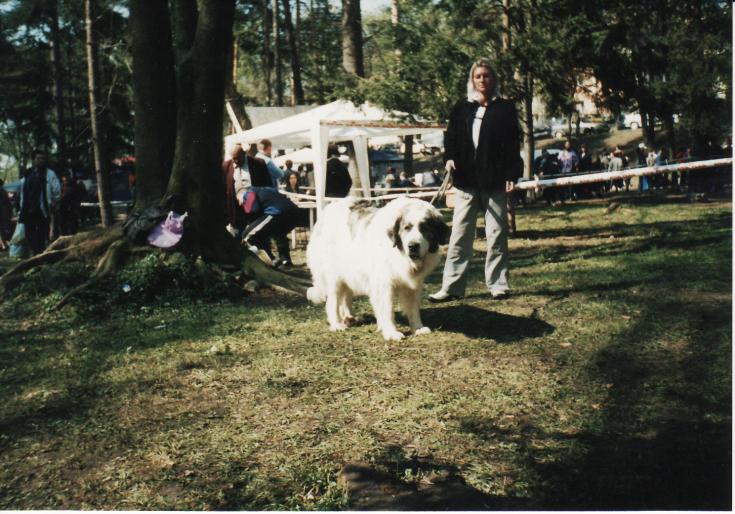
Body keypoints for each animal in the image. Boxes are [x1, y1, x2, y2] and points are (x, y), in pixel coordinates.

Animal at [304, 197, 448, 340]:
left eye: (425, 228)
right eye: (407, 228)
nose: (412, 246)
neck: (399, 253)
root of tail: (326, 211)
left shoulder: (413, 286)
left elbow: (413, 308)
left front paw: (418, 328)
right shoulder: (384, 284)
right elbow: (387, 309)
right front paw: (391, 332)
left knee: (346, 295)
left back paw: (349, 317)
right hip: (334, 277)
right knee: (333, 301)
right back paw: (336, 324)